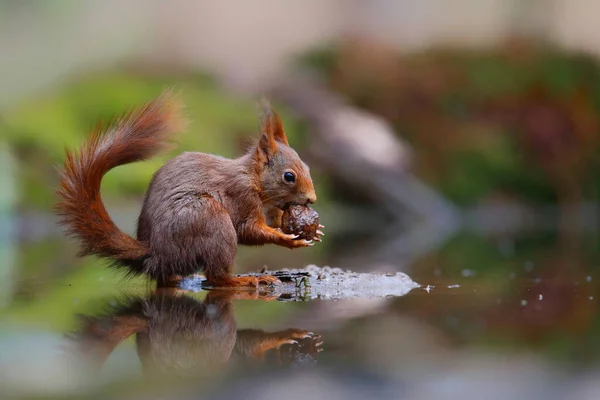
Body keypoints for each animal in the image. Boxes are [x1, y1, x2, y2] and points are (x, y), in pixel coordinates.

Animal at [54, 90, 322, 288]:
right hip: (209, 219)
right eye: (289, 176)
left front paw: (311, 230)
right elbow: (249, 230)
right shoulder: (241, 197)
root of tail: (155, 255)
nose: (312, 199)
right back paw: (247, 280)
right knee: (217, 277)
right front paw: (288, 239)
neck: (255, 180)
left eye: (308, 167)